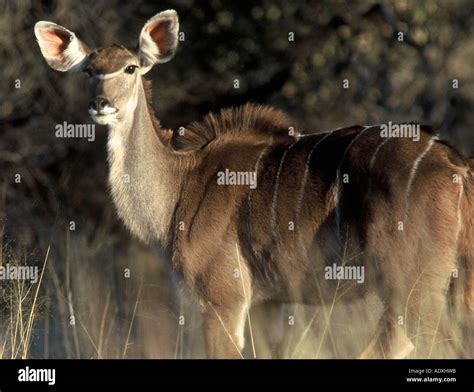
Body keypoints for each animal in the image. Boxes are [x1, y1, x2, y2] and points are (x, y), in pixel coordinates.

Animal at [34, 9, 474, 358]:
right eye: (89, 71)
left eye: (130, 68)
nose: (100, 105)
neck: (180, 186)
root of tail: (456, 164)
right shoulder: (268, 304)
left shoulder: (221, 299)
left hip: (413, 287)